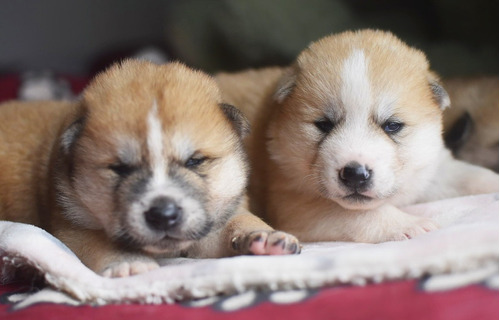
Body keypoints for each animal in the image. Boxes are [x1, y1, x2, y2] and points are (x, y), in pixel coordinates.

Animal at [0, 60, 298, 278]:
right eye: (119, 168)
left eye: (194, 161)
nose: (163, 215)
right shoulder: (72, 225)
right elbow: (98, 242)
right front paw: (129, 263)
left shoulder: (213, 222)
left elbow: (237, 222)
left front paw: (266, 238)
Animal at [217, 30, 498, 244]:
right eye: (324, 125)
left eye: (392, 126)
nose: (355, 174)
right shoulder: (296, 205)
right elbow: (360, 215)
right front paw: (410, 224)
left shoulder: (428, 169)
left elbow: (466, 176)